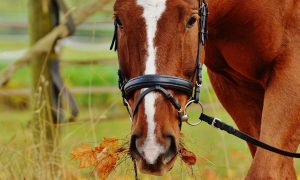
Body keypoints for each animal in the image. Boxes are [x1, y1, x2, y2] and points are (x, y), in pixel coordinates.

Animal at [112, 0, 300, 178]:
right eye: (119, 21)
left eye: (192, 20)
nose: (152, 146)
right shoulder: (233, 85)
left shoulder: (291, 71)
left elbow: (263, 172)